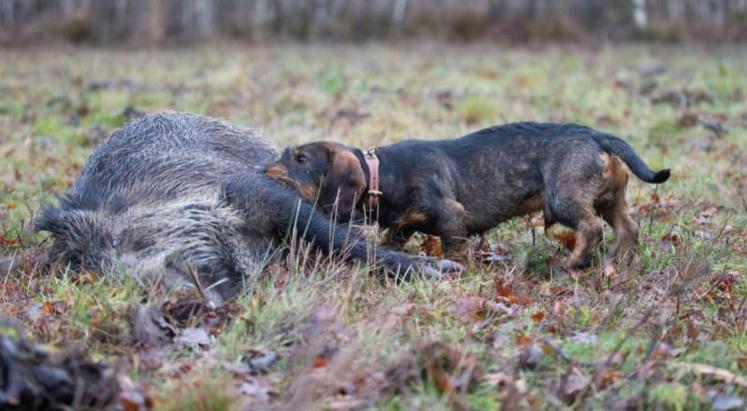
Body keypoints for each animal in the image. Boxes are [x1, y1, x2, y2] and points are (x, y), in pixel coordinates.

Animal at [264, 122, 672, 268]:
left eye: (300, 159)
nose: (263, 171)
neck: (385, 173)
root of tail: (596, 134)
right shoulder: (403, 226)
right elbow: (391, 239)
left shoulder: (451, 215)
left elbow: (455, 247)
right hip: (610, 201)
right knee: (629, 229)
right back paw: (620, 262)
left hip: (564, 198)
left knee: (591, 229)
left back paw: (574, 262)